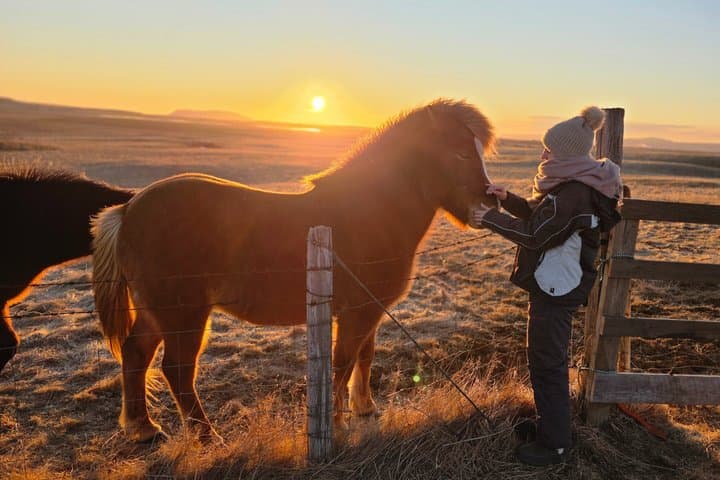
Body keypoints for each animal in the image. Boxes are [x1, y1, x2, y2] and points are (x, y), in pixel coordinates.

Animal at [91, 98, 497, 443]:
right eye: (461, 152)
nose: (488, 205)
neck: (369, 211)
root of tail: (128, 210)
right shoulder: (357, 313)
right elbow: (343, 363)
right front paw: (336, 424)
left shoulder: (369, 311)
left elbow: (364, 358)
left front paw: (365, 409)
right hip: (183, 315)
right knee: (177, 370)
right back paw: (207, 436)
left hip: (156, 313)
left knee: (136, 355)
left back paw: (143, 428)